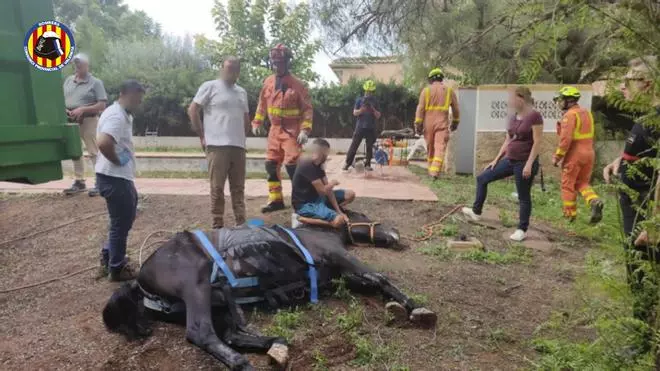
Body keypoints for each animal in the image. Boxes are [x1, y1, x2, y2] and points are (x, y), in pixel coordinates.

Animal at [103, 211, 438, 370]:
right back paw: (244, 363)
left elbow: (371, 283)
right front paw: (416, 308)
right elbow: (380, 277)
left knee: (230, 334)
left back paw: (275, 345)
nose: (395, 233)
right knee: (201, 333)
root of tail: (139, 281)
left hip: (216, 300)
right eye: (363, 216)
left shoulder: (337, 275)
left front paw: (399, 306)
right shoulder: (341, 257)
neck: (316, 233)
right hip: (195, 284)